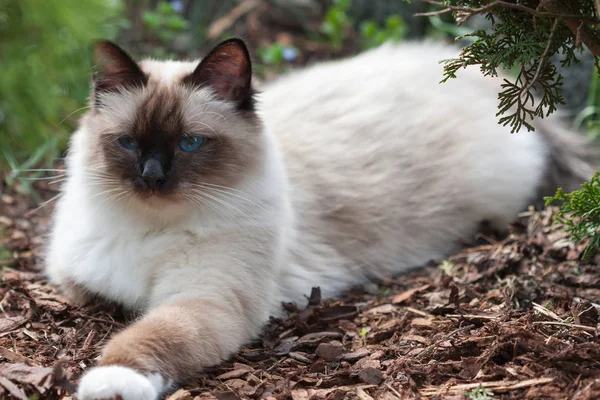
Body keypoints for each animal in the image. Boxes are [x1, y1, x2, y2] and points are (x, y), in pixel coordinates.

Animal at [45, 38, 596, 400]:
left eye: (190, 144)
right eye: (128, 143)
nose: (153, 177)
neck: (150, 227)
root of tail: (500, 83)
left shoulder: (204, 298)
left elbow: (149, 334)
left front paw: (108, 382)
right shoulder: (76, 280)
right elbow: (105, 304)